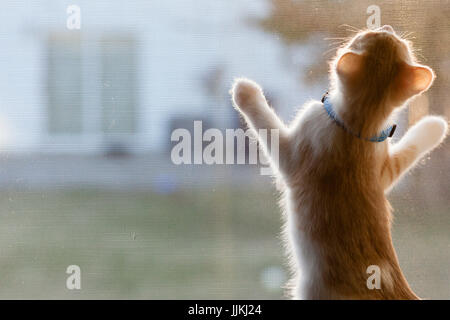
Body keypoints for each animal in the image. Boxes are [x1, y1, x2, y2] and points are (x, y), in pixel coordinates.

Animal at [230, 25, 448, 300]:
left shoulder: (295, 154)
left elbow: (268, 126)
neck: (358, 125)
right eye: (397, 40)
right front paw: (435, 126)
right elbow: (408, 151)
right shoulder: (383, 167)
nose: (385, 26)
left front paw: (246, 92)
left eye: (364, 36)